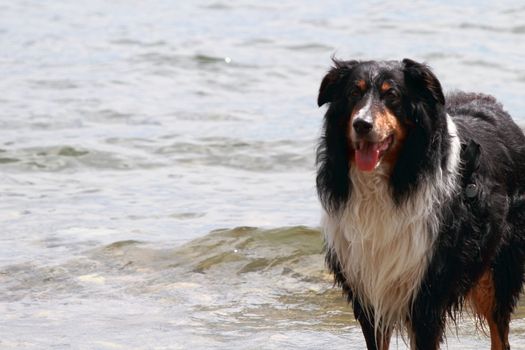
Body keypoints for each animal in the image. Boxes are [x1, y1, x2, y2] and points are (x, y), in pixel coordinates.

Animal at [316, 58, 524, 348]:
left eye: (392, 95)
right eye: (353, 93)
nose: (361, 124)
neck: (388, 184)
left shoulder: (426, 297)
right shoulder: (368, 290)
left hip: (499, 272)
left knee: (500, 336)